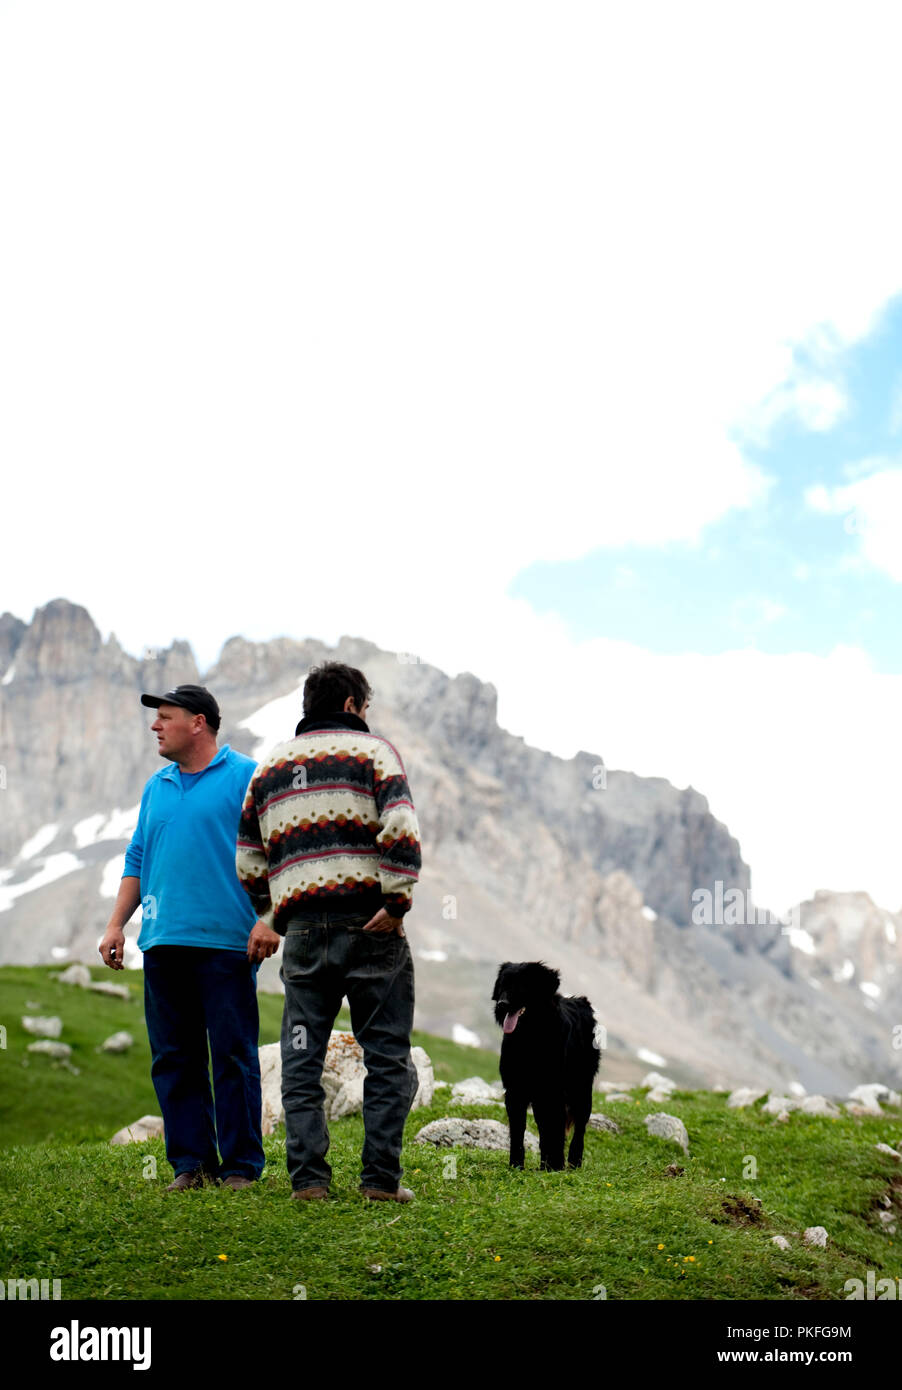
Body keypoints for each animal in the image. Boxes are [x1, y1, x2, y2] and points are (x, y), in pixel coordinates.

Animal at [492, 967, 597, 1173]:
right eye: (503, 985)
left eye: (522, 985)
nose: (502, 1004)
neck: (530, 1038)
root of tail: (582, 1001)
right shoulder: (515, 1091)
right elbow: (518, 1130)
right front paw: (516, 1165)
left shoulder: (552, 1091)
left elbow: (554, 1129)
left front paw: (555, 1166)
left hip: (581, 1090)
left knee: (579, 1128)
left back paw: (572, 1163)